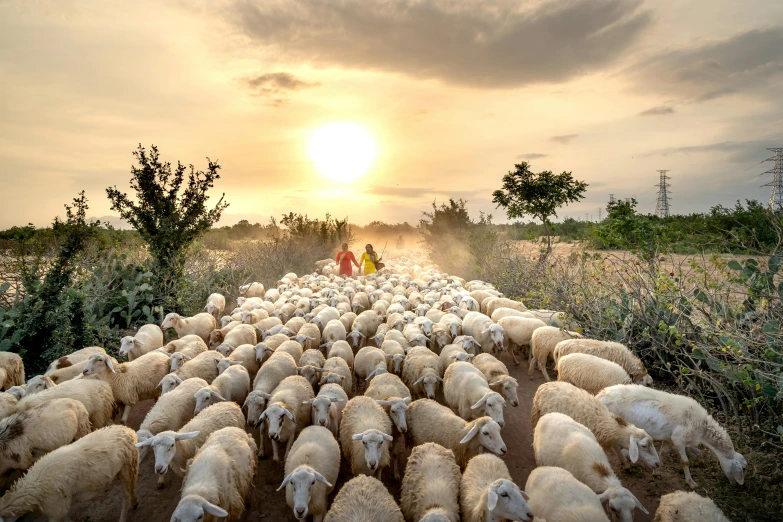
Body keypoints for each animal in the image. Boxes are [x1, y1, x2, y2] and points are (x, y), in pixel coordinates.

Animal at [0, 424, 138, 520]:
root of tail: (129, 431)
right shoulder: (58, 510)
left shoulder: (57, 509)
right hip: (127, 466)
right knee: (132, 486)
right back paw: (135, 503)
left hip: (126, 466)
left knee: (126, 496)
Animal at [528, 378, 660, 468]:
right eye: (644, 446)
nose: (658, 463)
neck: (606, 423)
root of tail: (545, 385)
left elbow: (617, 448)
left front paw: (624, 463)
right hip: (537, 415)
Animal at [600, 382, 748, 488]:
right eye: (743, 469)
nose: (737, 486)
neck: (702, 428)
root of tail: (600, 395)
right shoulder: (679, 440)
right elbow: (685, 461)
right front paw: (691, 482)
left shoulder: (669, 440)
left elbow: (662, 454)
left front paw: (656, 471)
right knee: (614, 443)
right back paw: (625, 463)